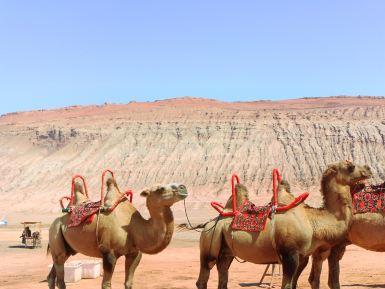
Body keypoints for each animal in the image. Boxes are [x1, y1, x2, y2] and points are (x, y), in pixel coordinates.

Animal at [47, 178, 188, 288]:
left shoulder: (134, 253)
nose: (183, 187)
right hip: (55, 233)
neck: (133, 227)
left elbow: (128, 283)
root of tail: (55, 221)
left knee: (52, 275)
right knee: (60, 278)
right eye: (161, 189)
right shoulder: (108, 252)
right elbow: (106, 284)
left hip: (66, 249)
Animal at [194, 161, 370, 286]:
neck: (312, 222)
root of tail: (208, 224)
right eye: (350, 166)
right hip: (209, 243)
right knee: (203, 276)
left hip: (226, 252)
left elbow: (294, 284)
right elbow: (287, 285)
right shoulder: (289, 255)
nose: (368, 169)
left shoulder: (302, 256)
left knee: (223, 273)